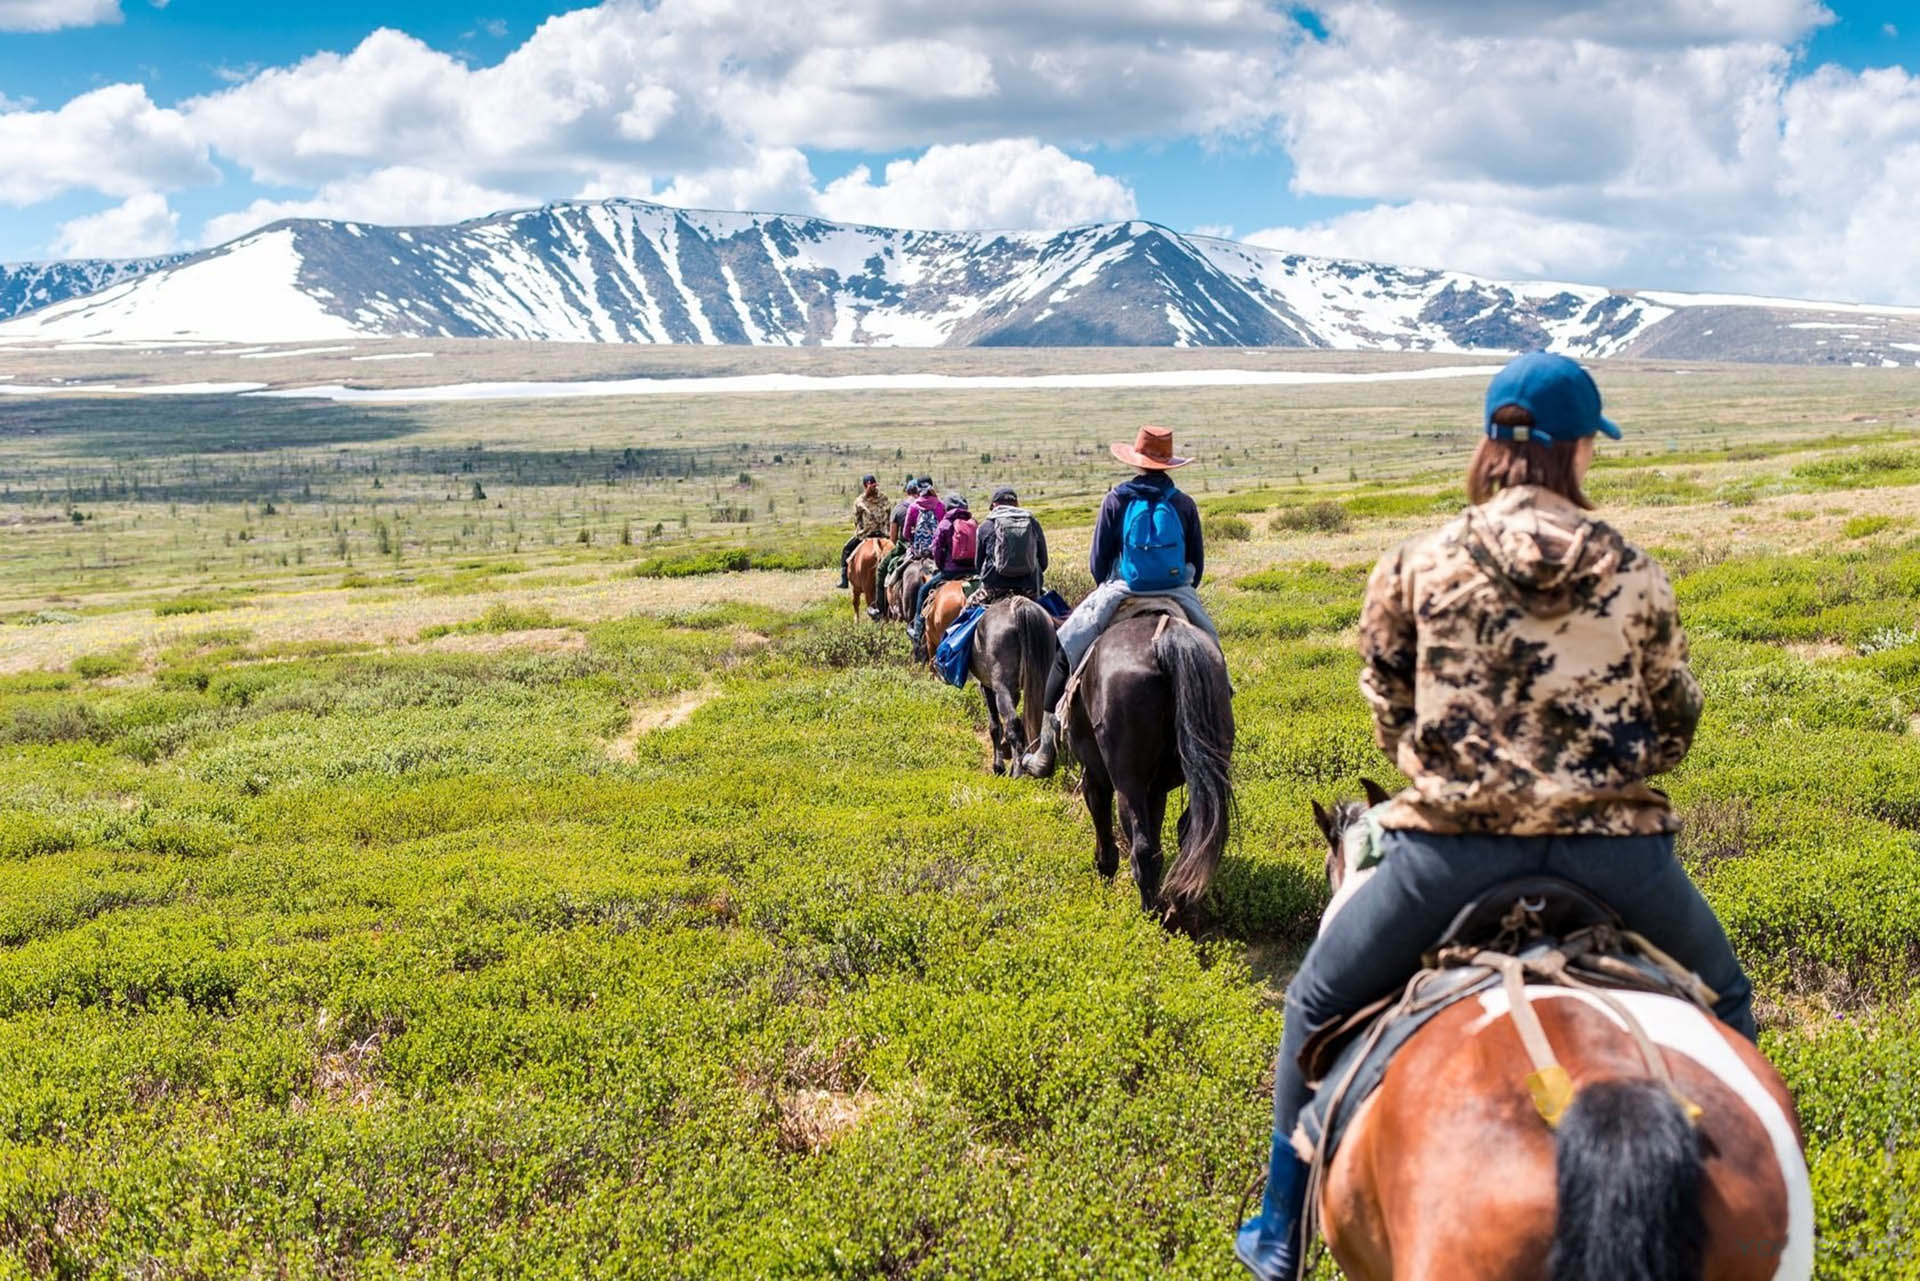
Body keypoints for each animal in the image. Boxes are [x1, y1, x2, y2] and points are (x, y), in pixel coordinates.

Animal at [967, 595, 1059, 775]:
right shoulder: (1014, 691)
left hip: (1001, 688)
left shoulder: (988, 688)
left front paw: (998, 766)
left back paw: (1017, 771)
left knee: (1013, 724)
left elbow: (995, 726)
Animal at [1067, 614, 1228, 921]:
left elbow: (1104, 829)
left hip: (1127, 785)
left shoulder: (1094, 778)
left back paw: (1149, 916)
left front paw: (1104, 876)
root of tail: (1166, 639)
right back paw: (1181, 909)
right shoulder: (1156, 791)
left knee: (1142, 851)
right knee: (1191, 835)